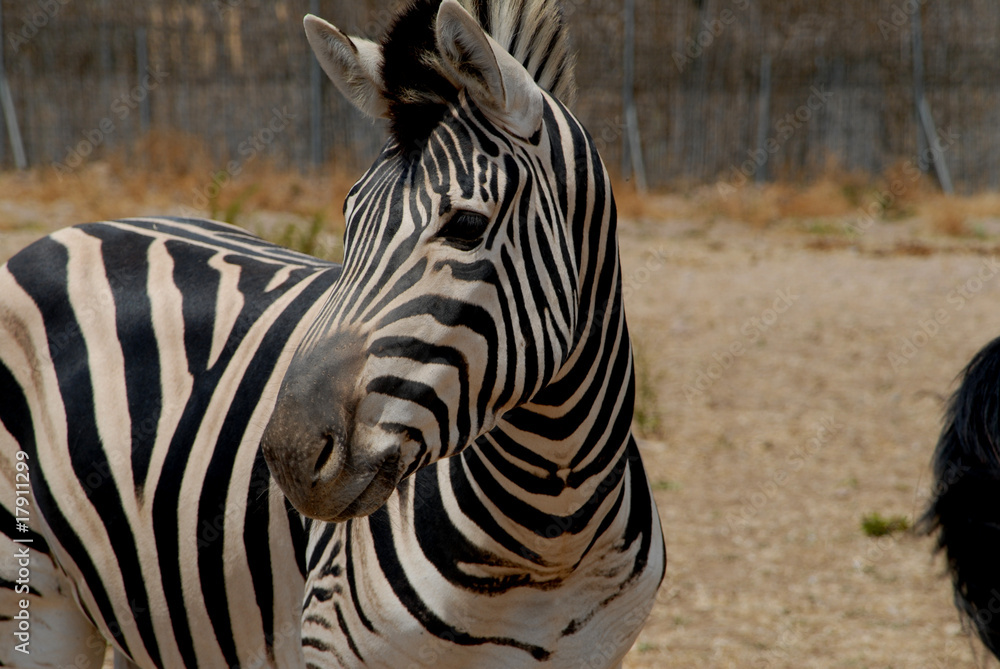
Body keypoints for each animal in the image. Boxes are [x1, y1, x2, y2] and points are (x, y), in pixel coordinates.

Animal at [0, 0, 665, 667]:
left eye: (466, 226)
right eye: (349, 217)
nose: (290, 458)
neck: (547, 535)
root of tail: (72, 231)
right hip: (34, 599)